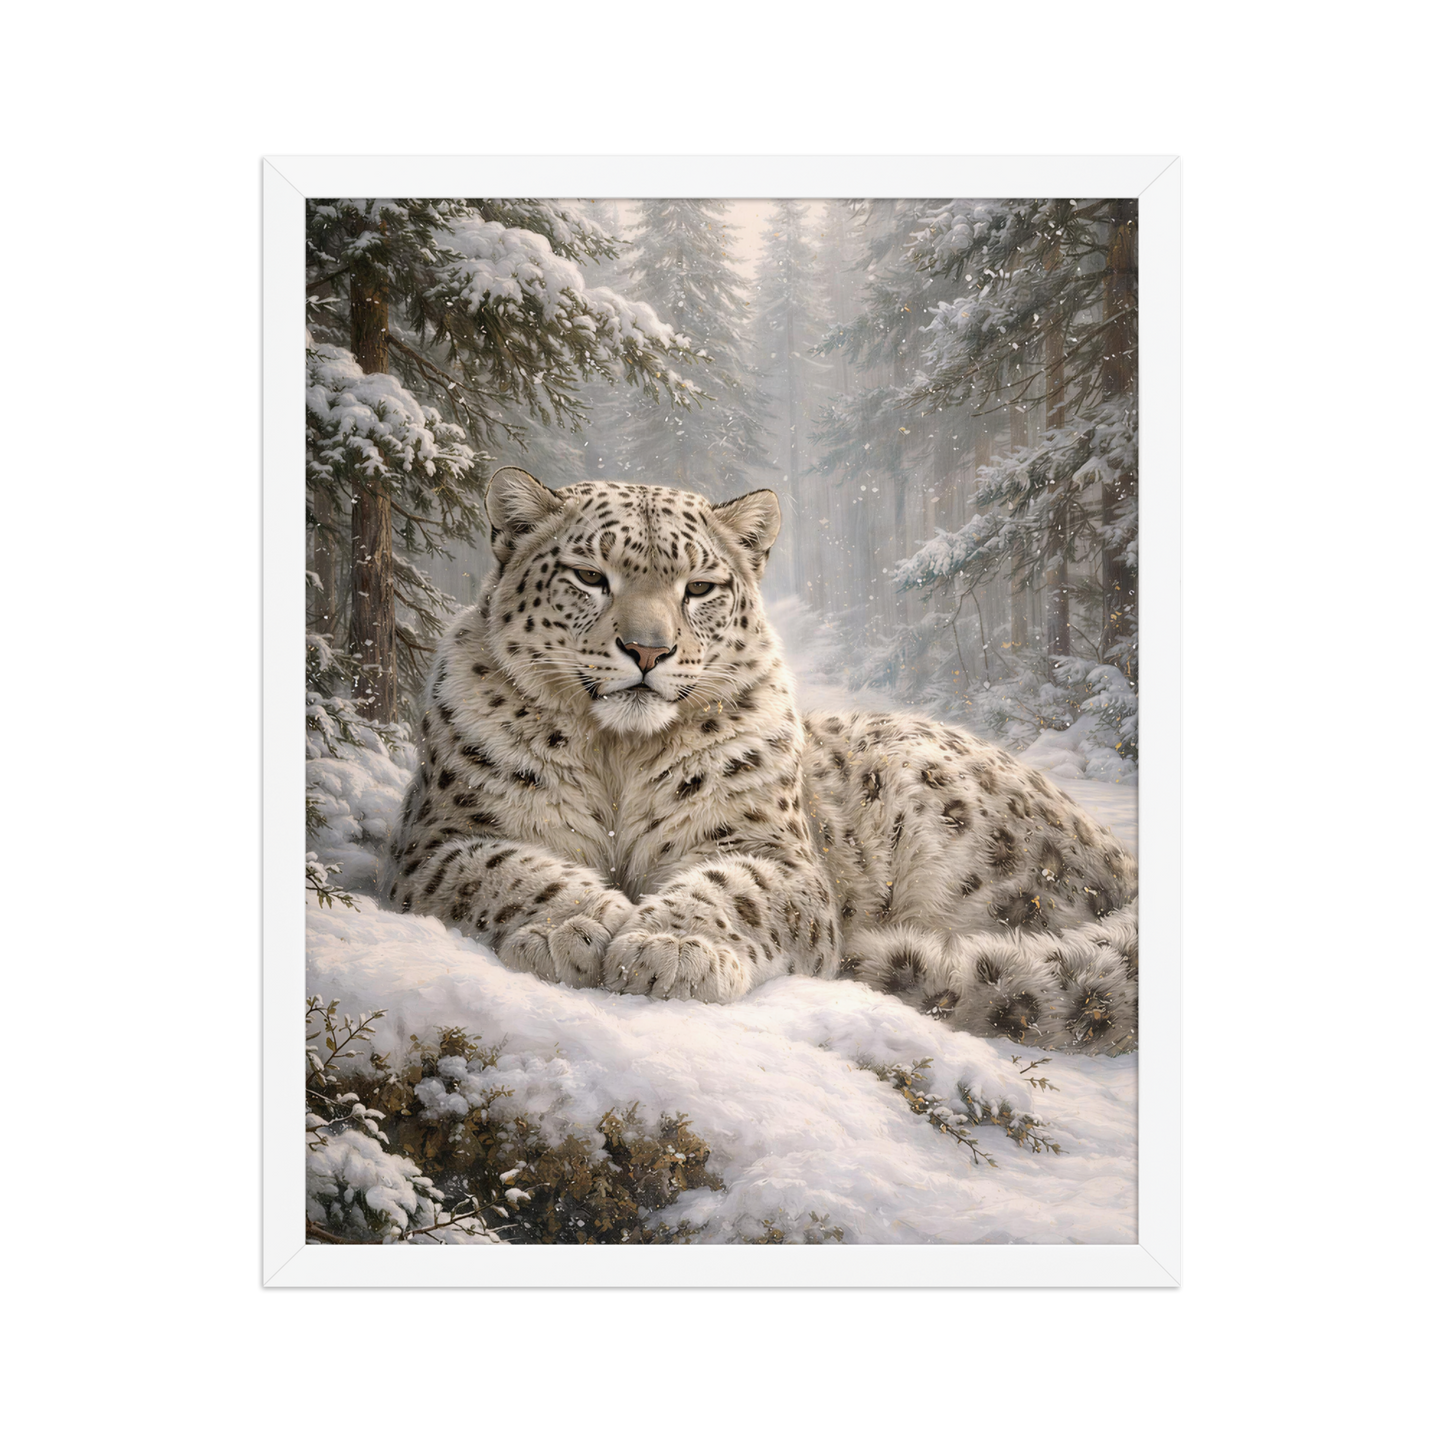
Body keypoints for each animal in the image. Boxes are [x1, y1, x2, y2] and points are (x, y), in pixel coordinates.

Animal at [379, 468, 1139, 1053]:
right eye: (590, 575)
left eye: (699, 587)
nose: (648, 649)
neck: (619, 753)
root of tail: (1117, 852)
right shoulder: (442, 838)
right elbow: (510, 870)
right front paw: (574, 929)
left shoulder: (772, 851)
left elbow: (732, 888)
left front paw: (669, 948)